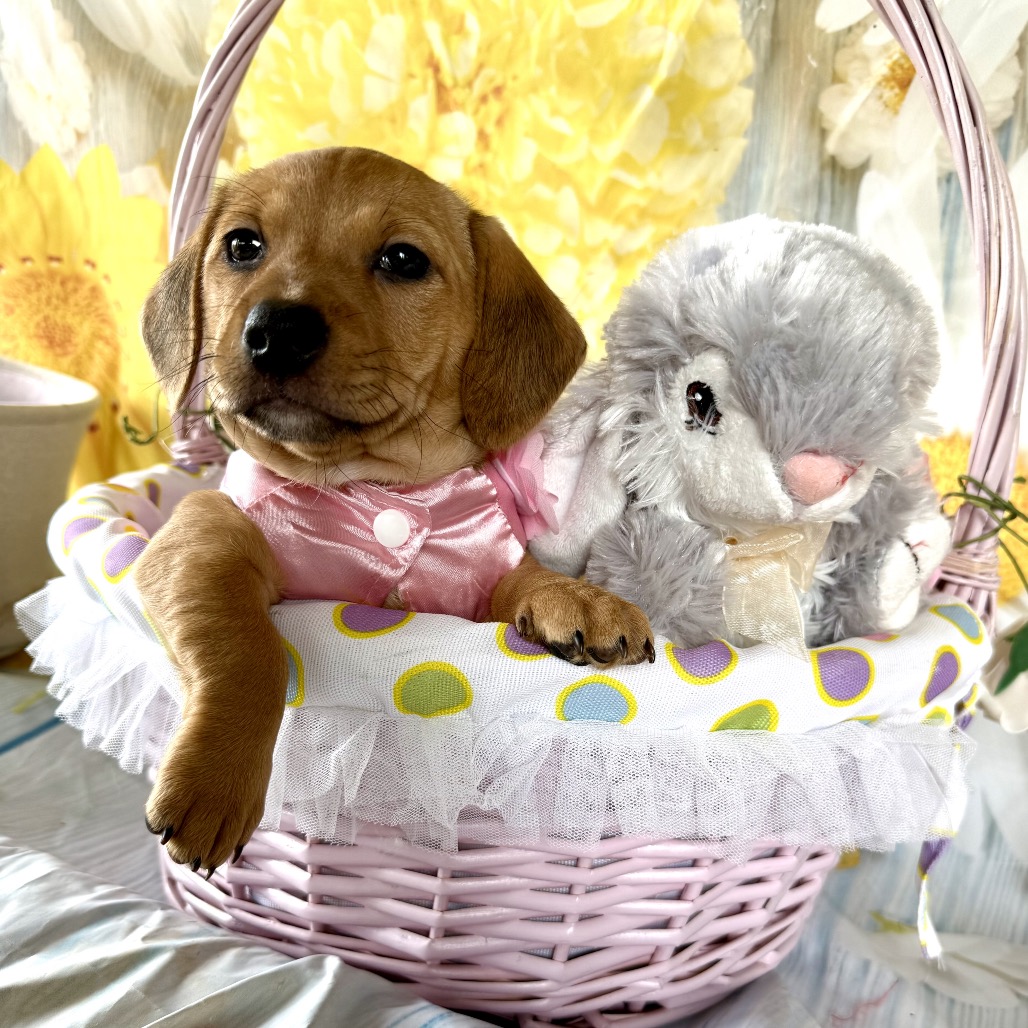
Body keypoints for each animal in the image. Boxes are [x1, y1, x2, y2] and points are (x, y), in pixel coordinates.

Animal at [134, 147, 654, 873]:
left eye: (403, 260)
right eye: (242, 245)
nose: (276, 330)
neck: (376, 486)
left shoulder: (475, 582)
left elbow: (525, 575)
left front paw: (580, 598)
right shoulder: (200, 543)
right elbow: (246, 650)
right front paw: (213, 779)